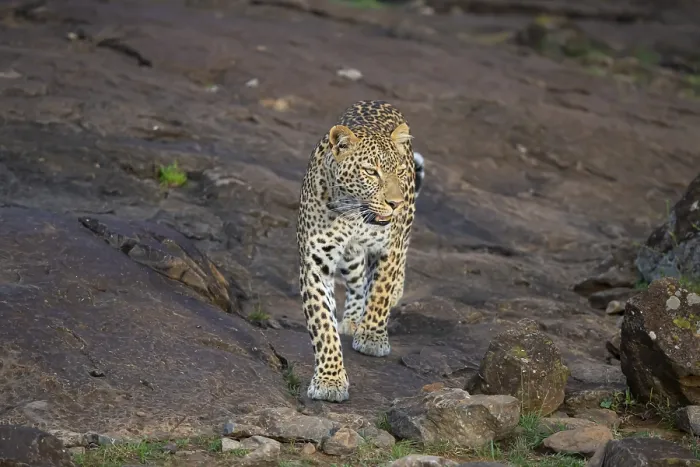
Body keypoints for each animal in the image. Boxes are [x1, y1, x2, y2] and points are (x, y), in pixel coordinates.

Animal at [296, 100, 425, 402]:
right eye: (371, 172)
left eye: (399, 171)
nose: (395, 203)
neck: (353, 213)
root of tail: (378, 101)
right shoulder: (315, 264)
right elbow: (323, 324)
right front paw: (330, 380)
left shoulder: (389, 247)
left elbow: (379, 293)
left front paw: (372, 337)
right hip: (350, 257)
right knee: (356, 282)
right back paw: (353, 317)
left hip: (405, 225)